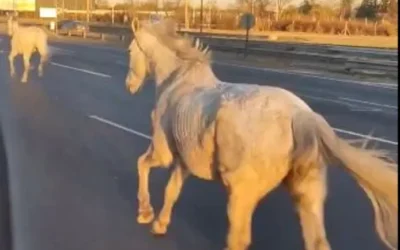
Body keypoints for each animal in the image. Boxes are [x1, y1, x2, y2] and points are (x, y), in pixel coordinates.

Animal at [124, 19, 396, 250]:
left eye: (129, 50)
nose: (129, 85)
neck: (177, 81)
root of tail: (302, 116)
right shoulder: (184, 160)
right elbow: (172, 191)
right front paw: (159, 224)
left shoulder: (163, 153)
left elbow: (141, 164)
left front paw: (145, 213)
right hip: (307, 192)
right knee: (317, 242)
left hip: (241, 193)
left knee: (238, 239)